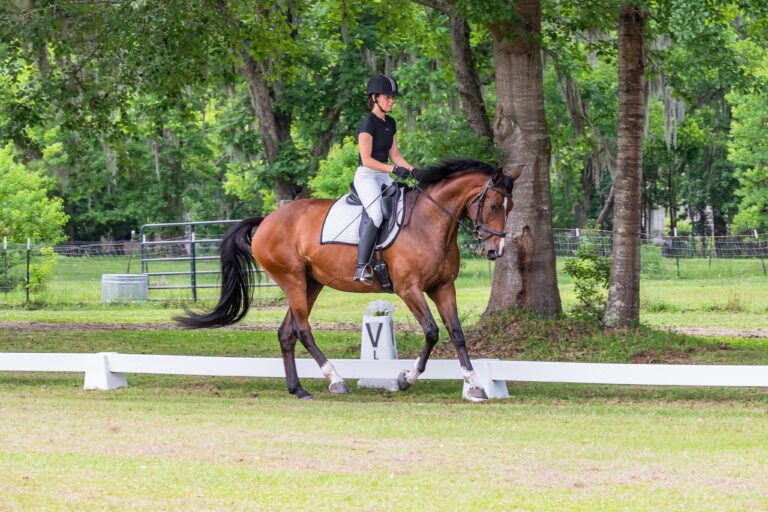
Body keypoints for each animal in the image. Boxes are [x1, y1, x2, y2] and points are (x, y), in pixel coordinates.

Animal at [175, 158, 523, 401]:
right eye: (493, 205)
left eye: (511, 207)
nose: (495, 250)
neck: (430, 222)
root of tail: (267, 221)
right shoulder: (409, 289)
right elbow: (432, 331)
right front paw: (404, 379)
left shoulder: (442, 287)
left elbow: (457, 334)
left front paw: (475, 386)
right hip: (292, 280)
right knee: (302, 329)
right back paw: (335, 380)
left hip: (310, 283)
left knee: (286, 333)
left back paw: (298, 389)